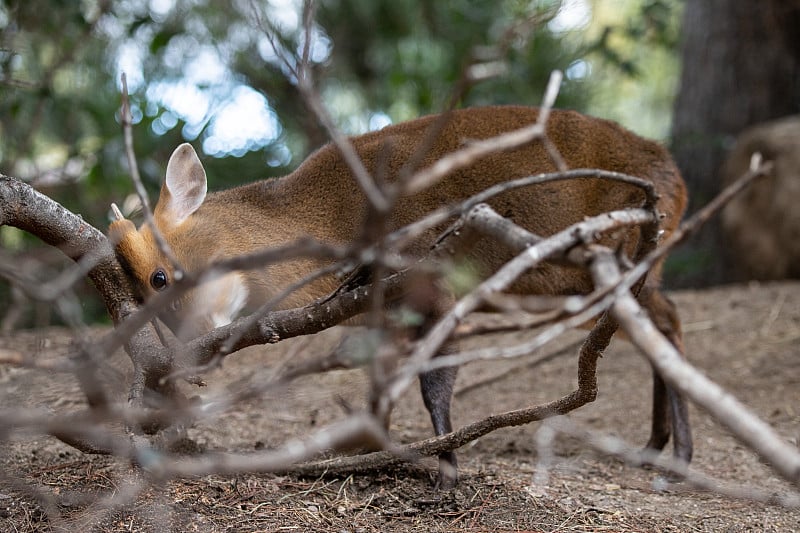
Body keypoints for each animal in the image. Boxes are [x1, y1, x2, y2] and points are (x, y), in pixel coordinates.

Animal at [109, 104, 692, 486]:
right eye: (139, 292)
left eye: (160, 277)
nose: (189, 358)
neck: (334, 224)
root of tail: (675, 176)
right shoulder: (383, 314)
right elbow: (380, 385)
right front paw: (369, 453)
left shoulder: (436, 285)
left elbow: (435, 383)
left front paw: (447, 471)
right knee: (656, 324)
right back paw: (657, 447)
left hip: (611, 260)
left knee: (666, 322)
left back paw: (679, 455)